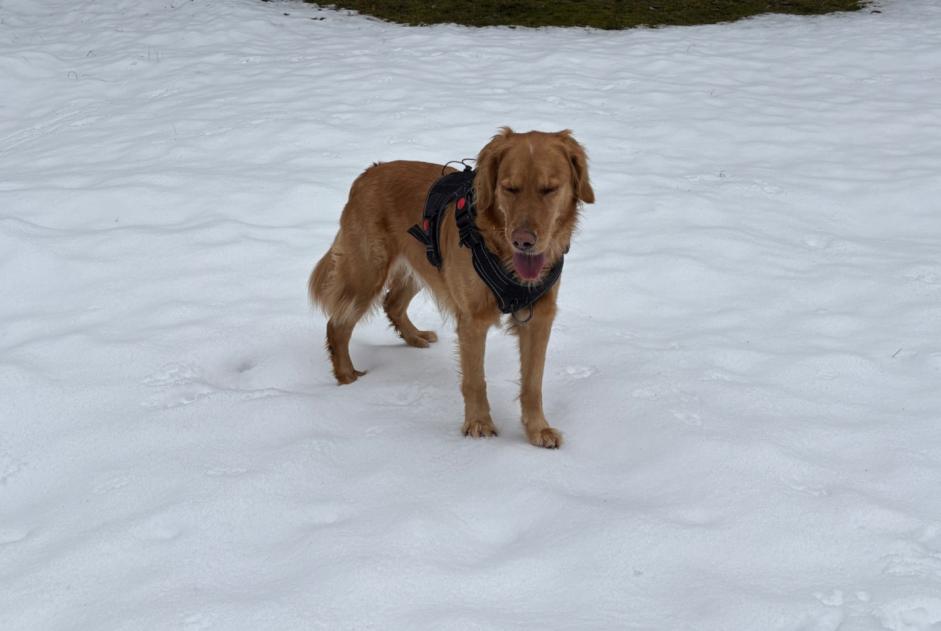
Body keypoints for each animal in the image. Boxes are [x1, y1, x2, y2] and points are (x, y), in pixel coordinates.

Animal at [310, 126, 596, 446]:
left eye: (550, 189)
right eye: (509, 188)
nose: (523, 240)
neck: (502, 253)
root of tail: (367, 173)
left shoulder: (539, 316)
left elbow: (533, 383)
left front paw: (537, 429)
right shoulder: (472, 319)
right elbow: (475, 380)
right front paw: (479, 424)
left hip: (421, 265)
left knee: (392, 303)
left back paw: (415, 337)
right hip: (366, 273)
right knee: (337, 325)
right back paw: (346, 377)